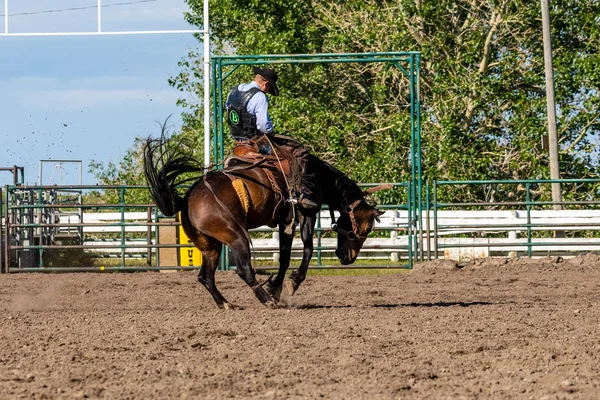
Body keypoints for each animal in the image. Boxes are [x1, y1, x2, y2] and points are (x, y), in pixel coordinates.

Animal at [145, 131, 386, 310]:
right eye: (365, 228)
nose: (348, 258)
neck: (317, 176)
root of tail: (187, 199)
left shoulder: (284, 220)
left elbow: (285, 257)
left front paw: (276, 288)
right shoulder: (304, 214)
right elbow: (306, 249)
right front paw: (289, 284)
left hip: (210, 245)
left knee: (205, 276)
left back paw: (227, 304)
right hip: (236, 236)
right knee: (244, 270)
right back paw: (266, 300)